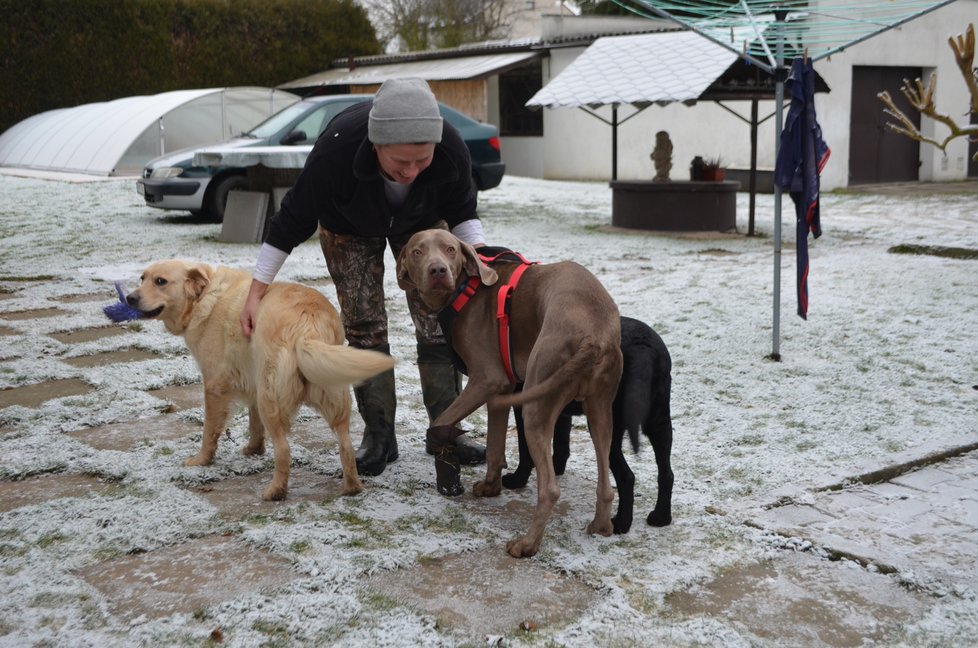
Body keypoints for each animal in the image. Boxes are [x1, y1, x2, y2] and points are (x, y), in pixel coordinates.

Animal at [394, 230, 616, 560]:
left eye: (450, 249)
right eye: (417, 251)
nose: (438, 271)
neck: (466, 289)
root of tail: (593, 335)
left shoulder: (488, 380)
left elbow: (439, 423)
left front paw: (445, 461)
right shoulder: (503, 389)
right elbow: (495, 443)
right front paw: (490, 486)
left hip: (536, 405)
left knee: (550, 489)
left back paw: (527, 545)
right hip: (600, 410)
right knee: (606, 481)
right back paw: (601, 526)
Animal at [504, 316, 672, 536]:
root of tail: (642, 344)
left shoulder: (526, 406)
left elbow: (525, 450)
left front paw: (517, 480)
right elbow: (561, 442)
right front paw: (556, 468)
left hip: (606, 425)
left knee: (627, 476)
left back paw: (621, 523)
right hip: (659, 420)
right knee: (666, 472)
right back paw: (661, 517)